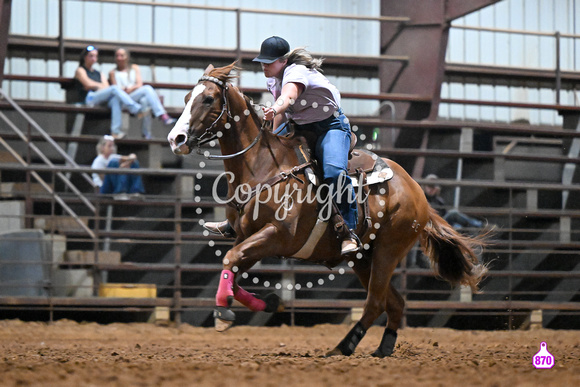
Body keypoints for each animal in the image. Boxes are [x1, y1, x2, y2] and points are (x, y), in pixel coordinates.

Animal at [165, 63, 488, 358]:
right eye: (186, 98)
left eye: (208, 99)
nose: (175, 139)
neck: (264, 167)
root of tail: (417, 192)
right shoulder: (248, 238)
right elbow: (232, 265)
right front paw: (269, 303)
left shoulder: (277, 236)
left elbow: (230, 259)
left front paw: (223, 314)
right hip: (363, 258)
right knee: (394, 303)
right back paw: (382, 349)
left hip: (388, 250)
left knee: (375, 303)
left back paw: (341, 348)